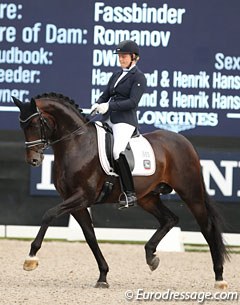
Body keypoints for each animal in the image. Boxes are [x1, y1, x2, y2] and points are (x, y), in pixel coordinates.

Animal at [13, 92, 229, 288]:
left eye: (35, 124)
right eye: (22, 126)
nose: (33, 160)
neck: (77, 144)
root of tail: (184, 142)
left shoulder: (83, 196)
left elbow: (48, 215)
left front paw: (31, 258)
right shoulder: (76, 203)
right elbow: (90, 236)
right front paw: (103, 276)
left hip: (191, 193)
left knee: (207, 228)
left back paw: (219, 278)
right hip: (147, 198)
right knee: (170, 219)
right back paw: (151, 256)